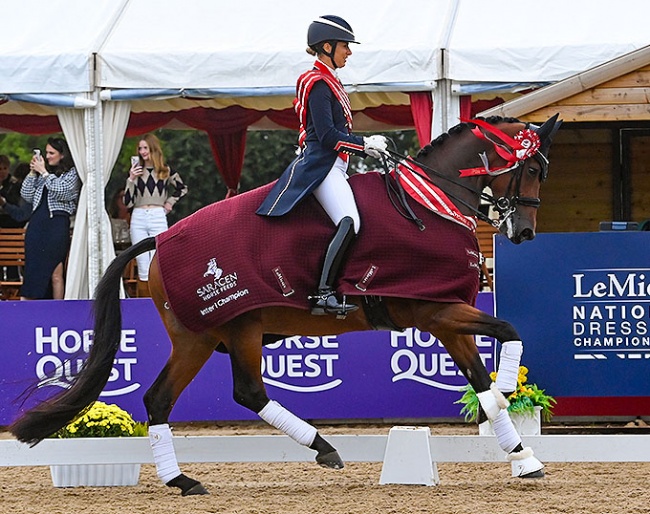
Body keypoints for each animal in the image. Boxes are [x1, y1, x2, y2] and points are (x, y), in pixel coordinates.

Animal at [7, 115, 560, 492]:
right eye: (532, 167)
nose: (525, 232)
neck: (430, 202)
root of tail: (159, 240)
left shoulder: (444, 319)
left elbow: (481, 381)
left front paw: (522, 455)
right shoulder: (436, 311)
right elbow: (508, 335)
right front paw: (511, 393)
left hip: (208, 337)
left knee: (166, 399)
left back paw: (184, 480)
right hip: (227, 330)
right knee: (241, 392)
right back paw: (319, 448)